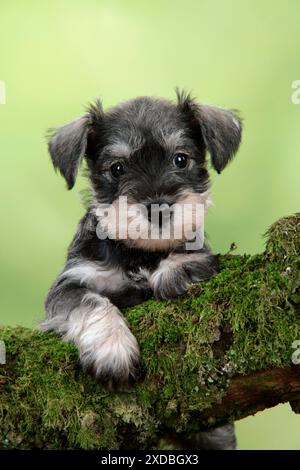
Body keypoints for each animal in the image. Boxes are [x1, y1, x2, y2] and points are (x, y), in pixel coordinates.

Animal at [40, 91, 241, 392]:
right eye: (117, 168)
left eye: (180, 159)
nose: (159, 210)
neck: (138, 254)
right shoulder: (68, 284)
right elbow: (89, 301)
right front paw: (111, 348)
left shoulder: (201, 254)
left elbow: (192, 256)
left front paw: (175, 269)